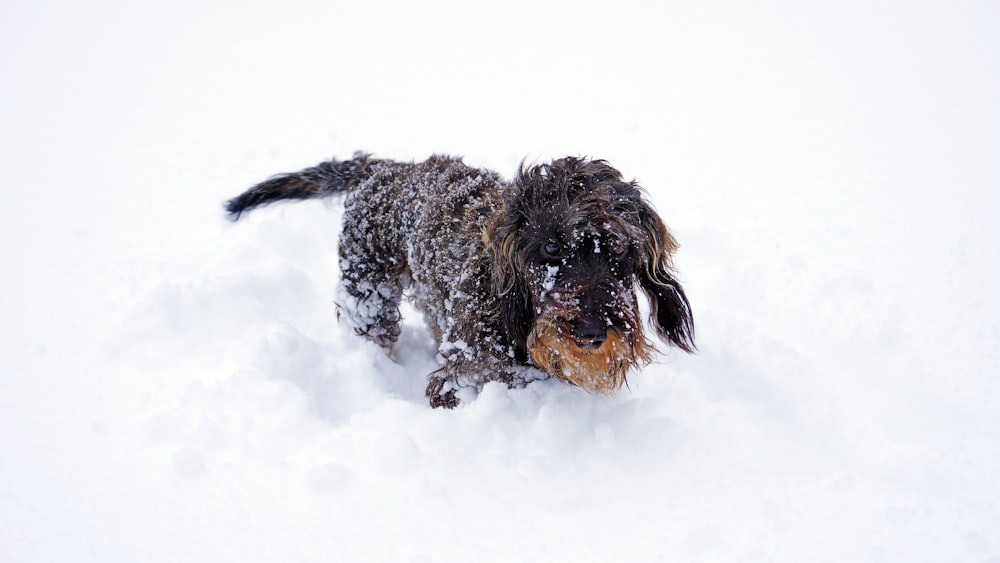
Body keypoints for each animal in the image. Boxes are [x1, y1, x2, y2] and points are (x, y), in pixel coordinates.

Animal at [225, 154, 696, 408]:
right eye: (550, 247)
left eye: (619, 250)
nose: (593, 332)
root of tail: (383, 169)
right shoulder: (460, 377)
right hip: (367, 294)